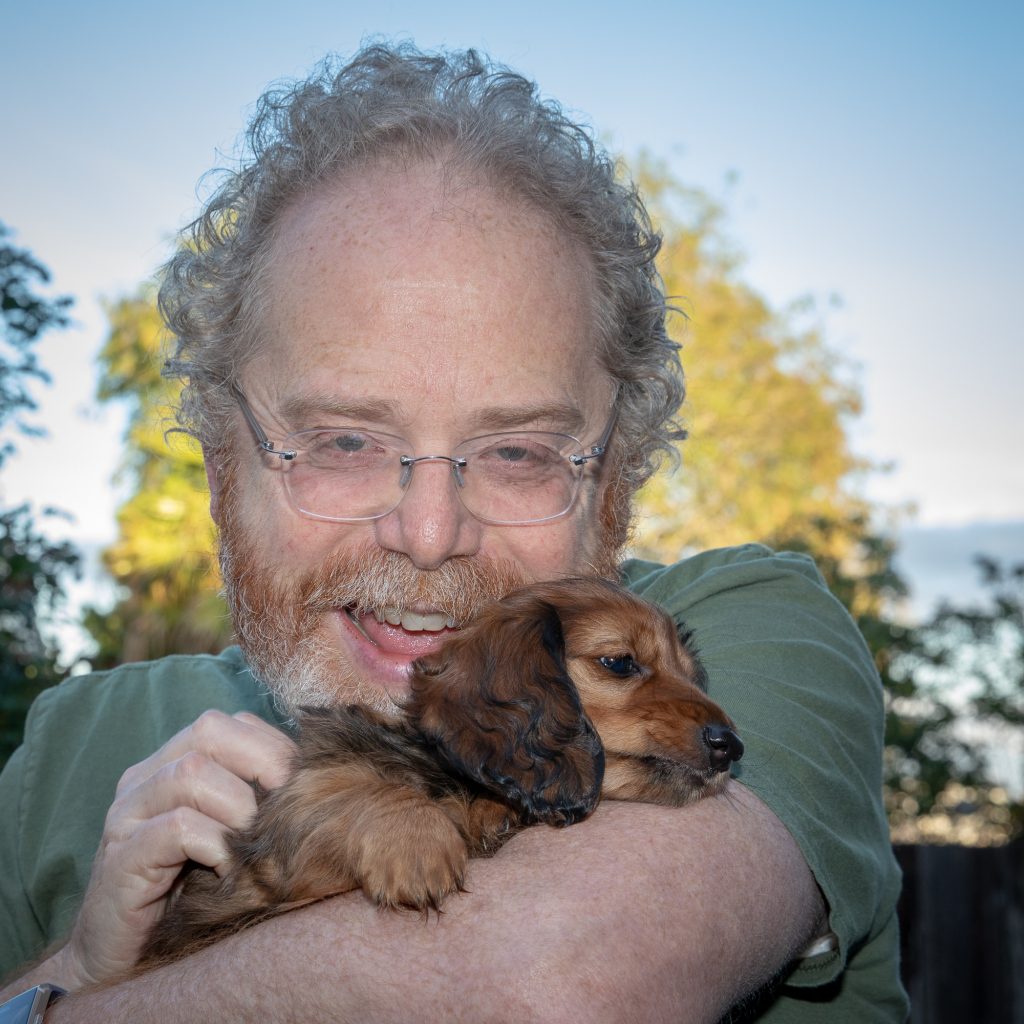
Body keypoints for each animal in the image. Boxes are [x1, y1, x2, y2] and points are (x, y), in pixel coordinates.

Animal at [140, 577, 741, 966]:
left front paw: (492, 817)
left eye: (692, 675)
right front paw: (416, 841)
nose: (731, 747)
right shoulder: (289, 817)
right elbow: (355, 786)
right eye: (619, 662)